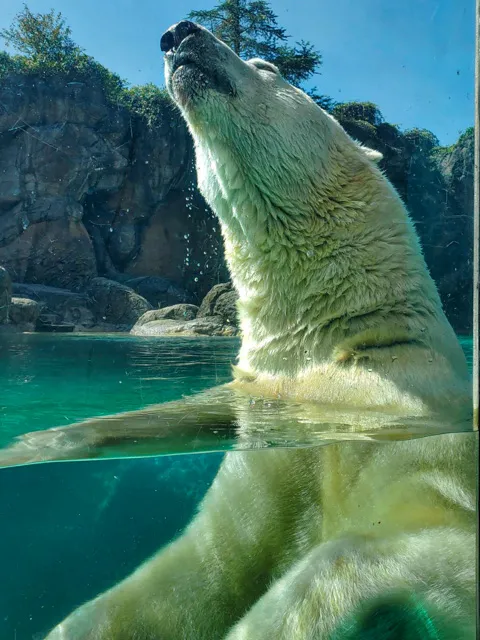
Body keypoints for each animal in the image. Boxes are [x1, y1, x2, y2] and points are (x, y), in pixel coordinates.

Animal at [0, 21, 474, 640]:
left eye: (267, 66)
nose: (179, 31)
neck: (337, 342)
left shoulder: (421, 438)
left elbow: (371, 554)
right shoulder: (259, 411)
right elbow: (196, 567)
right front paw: (29, 446)